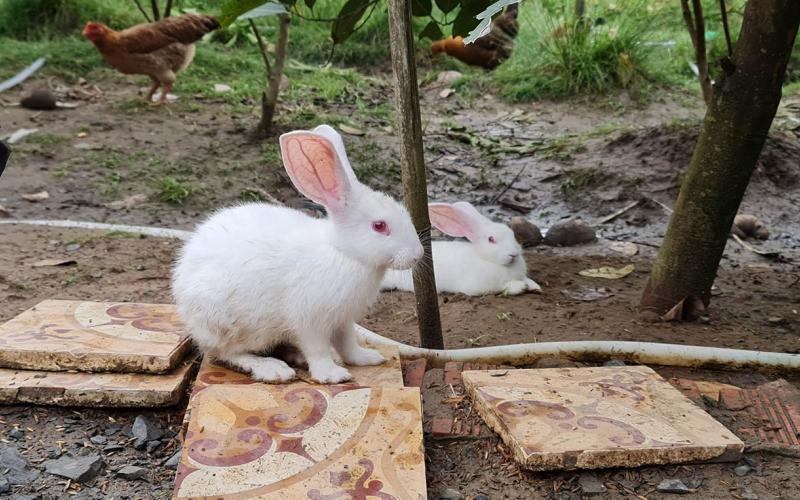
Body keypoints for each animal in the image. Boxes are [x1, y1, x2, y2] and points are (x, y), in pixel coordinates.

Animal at [172, 124, 423, 384]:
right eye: (379, 226)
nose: (418, 254)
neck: (343, 252)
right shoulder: (310, 320)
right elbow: (318, 349)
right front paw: (332, 375)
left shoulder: (343, 320)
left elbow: (347, 343)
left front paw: (366, 358)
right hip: (226, 325)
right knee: (226, 353)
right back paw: (273, 369)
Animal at [381, 201, 541, 296]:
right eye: (491, 239)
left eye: (512, 234)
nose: (513, 254)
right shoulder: (479, 287)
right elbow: (501, 287)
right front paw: (520, 287)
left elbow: (527, 279)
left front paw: (535, 286)